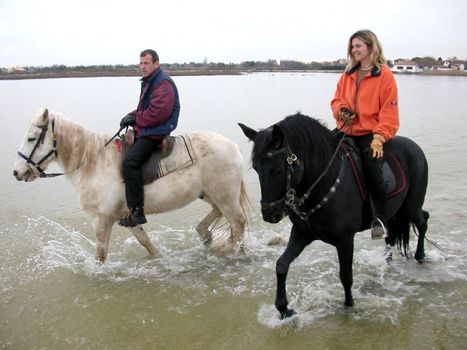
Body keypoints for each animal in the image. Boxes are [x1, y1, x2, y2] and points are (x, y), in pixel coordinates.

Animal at [11, 108, 249, 262]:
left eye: (32, 138)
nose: (16, 172)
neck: (95, 163)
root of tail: (233, 146)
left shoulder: (103, 219)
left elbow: (100, 254)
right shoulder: (128, 216)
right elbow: (145, 241)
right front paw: (159, 258)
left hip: (225, 195)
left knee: (237, 222)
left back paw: (233, 252)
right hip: (210, 194)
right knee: (222, 214)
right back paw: (206, 235)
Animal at [239, 113, 430, 318]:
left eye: (276, 169)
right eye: (256, 168)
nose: (269, 214)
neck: (324, 183)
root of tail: (414, 147)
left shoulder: (345, 240)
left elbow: (346, 276)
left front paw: (349, 305)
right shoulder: (301, 234)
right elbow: (281, 265)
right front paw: (284, 308)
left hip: (411, 207)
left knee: (423, 220)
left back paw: (420, 255)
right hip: (394, 213)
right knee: (392, 236)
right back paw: (387, 261)